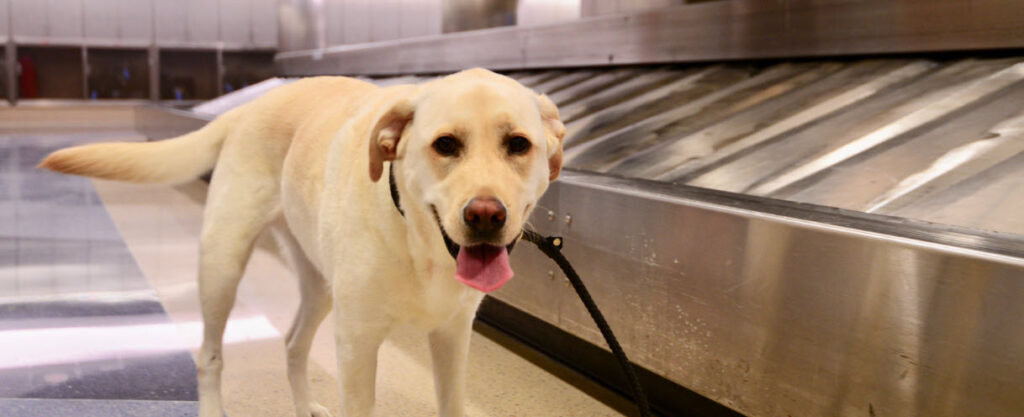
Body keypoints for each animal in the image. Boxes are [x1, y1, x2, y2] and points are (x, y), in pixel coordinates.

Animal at [39, 69, 565, 417]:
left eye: (518, 145)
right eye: (446, 145)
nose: (486, 215)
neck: (421, 245)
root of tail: (251, 104)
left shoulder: (452, 338)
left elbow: (451, 403)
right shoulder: (356, 346)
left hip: (320, 285)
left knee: (292, 345)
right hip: (222, 265)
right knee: (210, 356)